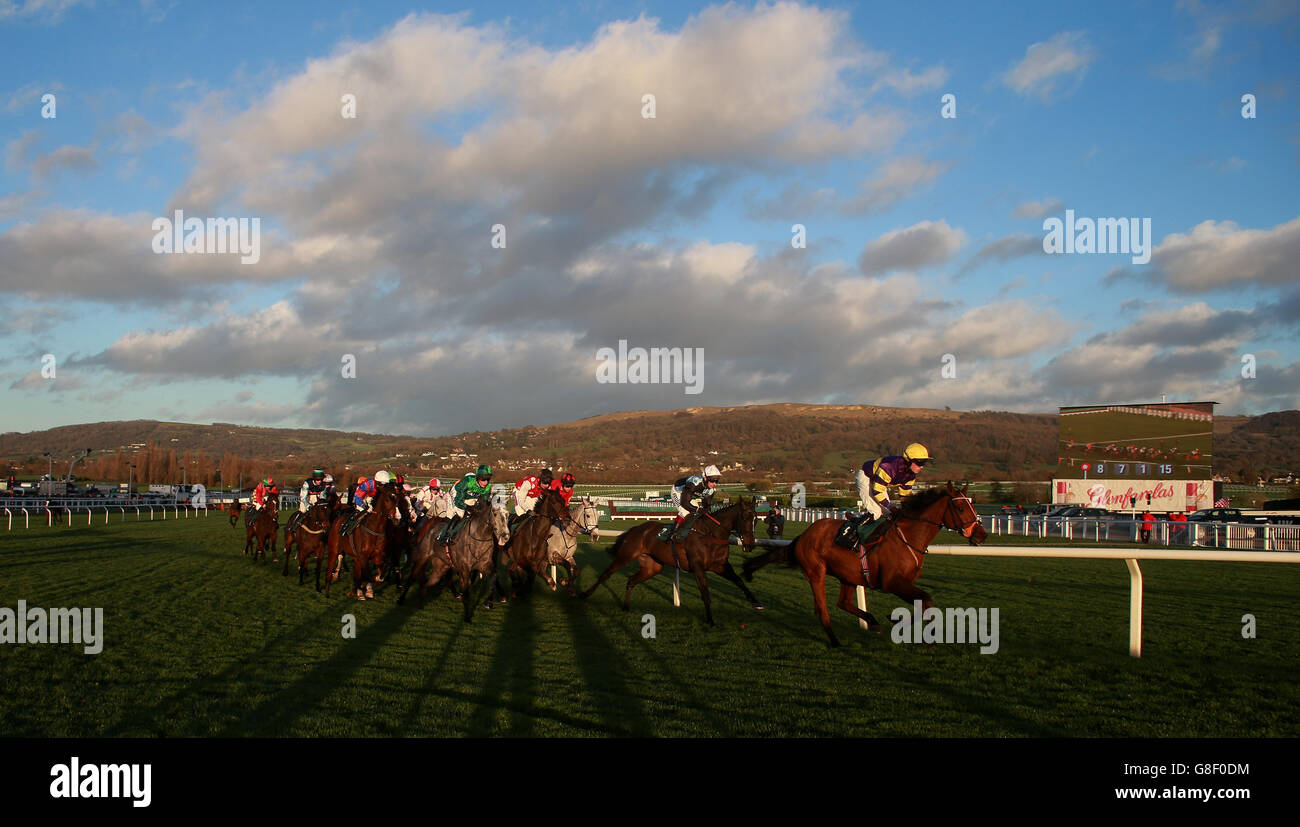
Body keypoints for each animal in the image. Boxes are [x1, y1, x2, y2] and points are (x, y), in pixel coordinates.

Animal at [579, 496, 759, 626]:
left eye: (756, 519)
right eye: (744, 517)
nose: (750, 544)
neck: (710, 534)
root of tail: (635, 529)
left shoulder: (721, 566)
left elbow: (739, 580)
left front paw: (755, 601)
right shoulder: (698, 567)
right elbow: (705, 593)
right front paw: (710, 620)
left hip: (652, 567)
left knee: (631, 580)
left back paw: (626, 606)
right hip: (626, 556)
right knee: (606, 574)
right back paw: (585, 594)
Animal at [743, 483, 982, 644]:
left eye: (973, 506)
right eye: (961, 509)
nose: (981, 533)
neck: (908, 537)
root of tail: (804, 535)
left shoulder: (904, 583)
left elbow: (925, 602)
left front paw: (894, 620)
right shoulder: (892, 583)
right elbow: (927, 599)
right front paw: (900, 624)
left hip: (848, 575)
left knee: (843, 603)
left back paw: (872, 622)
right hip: (816, 572)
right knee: (823, 609)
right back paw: (835, 640)